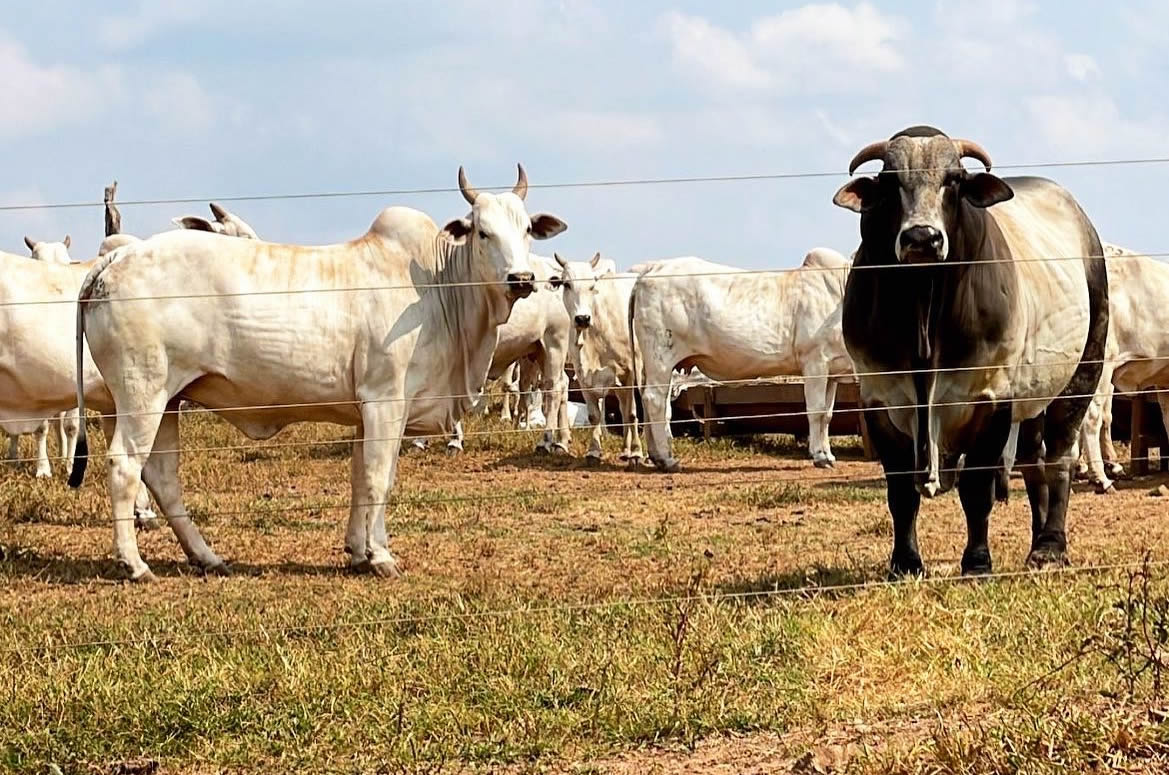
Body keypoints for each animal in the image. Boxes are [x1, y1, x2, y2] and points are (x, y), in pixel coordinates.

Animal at [70, 168, 568, 582]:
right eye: (483, 231)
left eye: (527, 230)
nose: (522, 278)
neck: (438, 287)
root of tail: (115, 260)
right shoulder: (386, 401)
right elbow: (380, 478)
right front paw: (380, 556)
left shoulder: (366, 412)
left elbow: (360, 478)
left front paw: (359, 550)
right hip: (142, 394)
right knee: (124, 466)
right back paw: (134, 564)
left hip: (169, 400)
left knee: (162, 476)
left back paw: (207, 557)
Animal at [544, 251, 640, 462]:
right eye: (567, 284)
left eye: (592, 285)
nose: (582, 318)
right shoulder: (583, 376)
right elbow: (594, 416)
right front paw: (594, 450)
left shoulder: (629, 372)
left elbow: (631, 414)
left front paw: (638, 452)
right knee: (623, 408)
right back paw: (625, 450)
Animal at [631, 248, 851, 472]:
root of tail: (652, 268)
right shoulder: (815, 362)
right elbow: (816, 411)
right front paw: (819, 456)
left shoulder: (831, 371)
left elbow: (827, 415)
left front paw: (828, 454)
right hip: (660, 357)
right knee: (655, 399)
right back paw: (667, 459)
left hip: (657, 365)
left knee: (651, 401)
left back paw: (656, 456)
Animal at [832, 125, 1103, 575]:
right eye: (890, 182)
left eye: (954, 180)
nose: (922, 238)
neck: (923, 303)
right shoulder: (878, 398)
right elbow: (900, 493)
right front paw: (905, 562)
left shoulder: (992, 398)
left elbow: (976, 488)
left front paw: (977, 561)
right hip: (1032, 396)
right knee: (1034, 462)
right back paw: (1035, 542)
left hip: (1082, 375)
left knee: (1060, 457)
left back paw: (1051, 546)